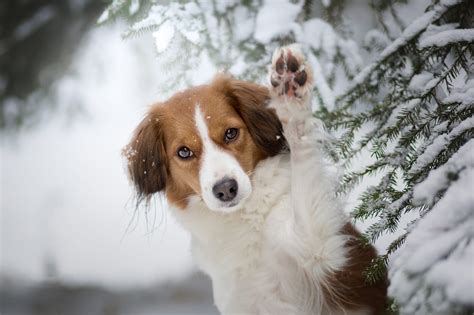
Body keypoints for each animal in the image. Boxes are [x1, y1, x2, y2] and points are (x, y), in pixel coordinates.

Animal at [124, 45, 386, 315]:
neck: (244, 223)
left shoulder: (322, 252)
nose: (226, 189)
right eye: (184, 152)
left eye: (231, 133)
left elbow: (302, 154)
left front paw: (289, 93)